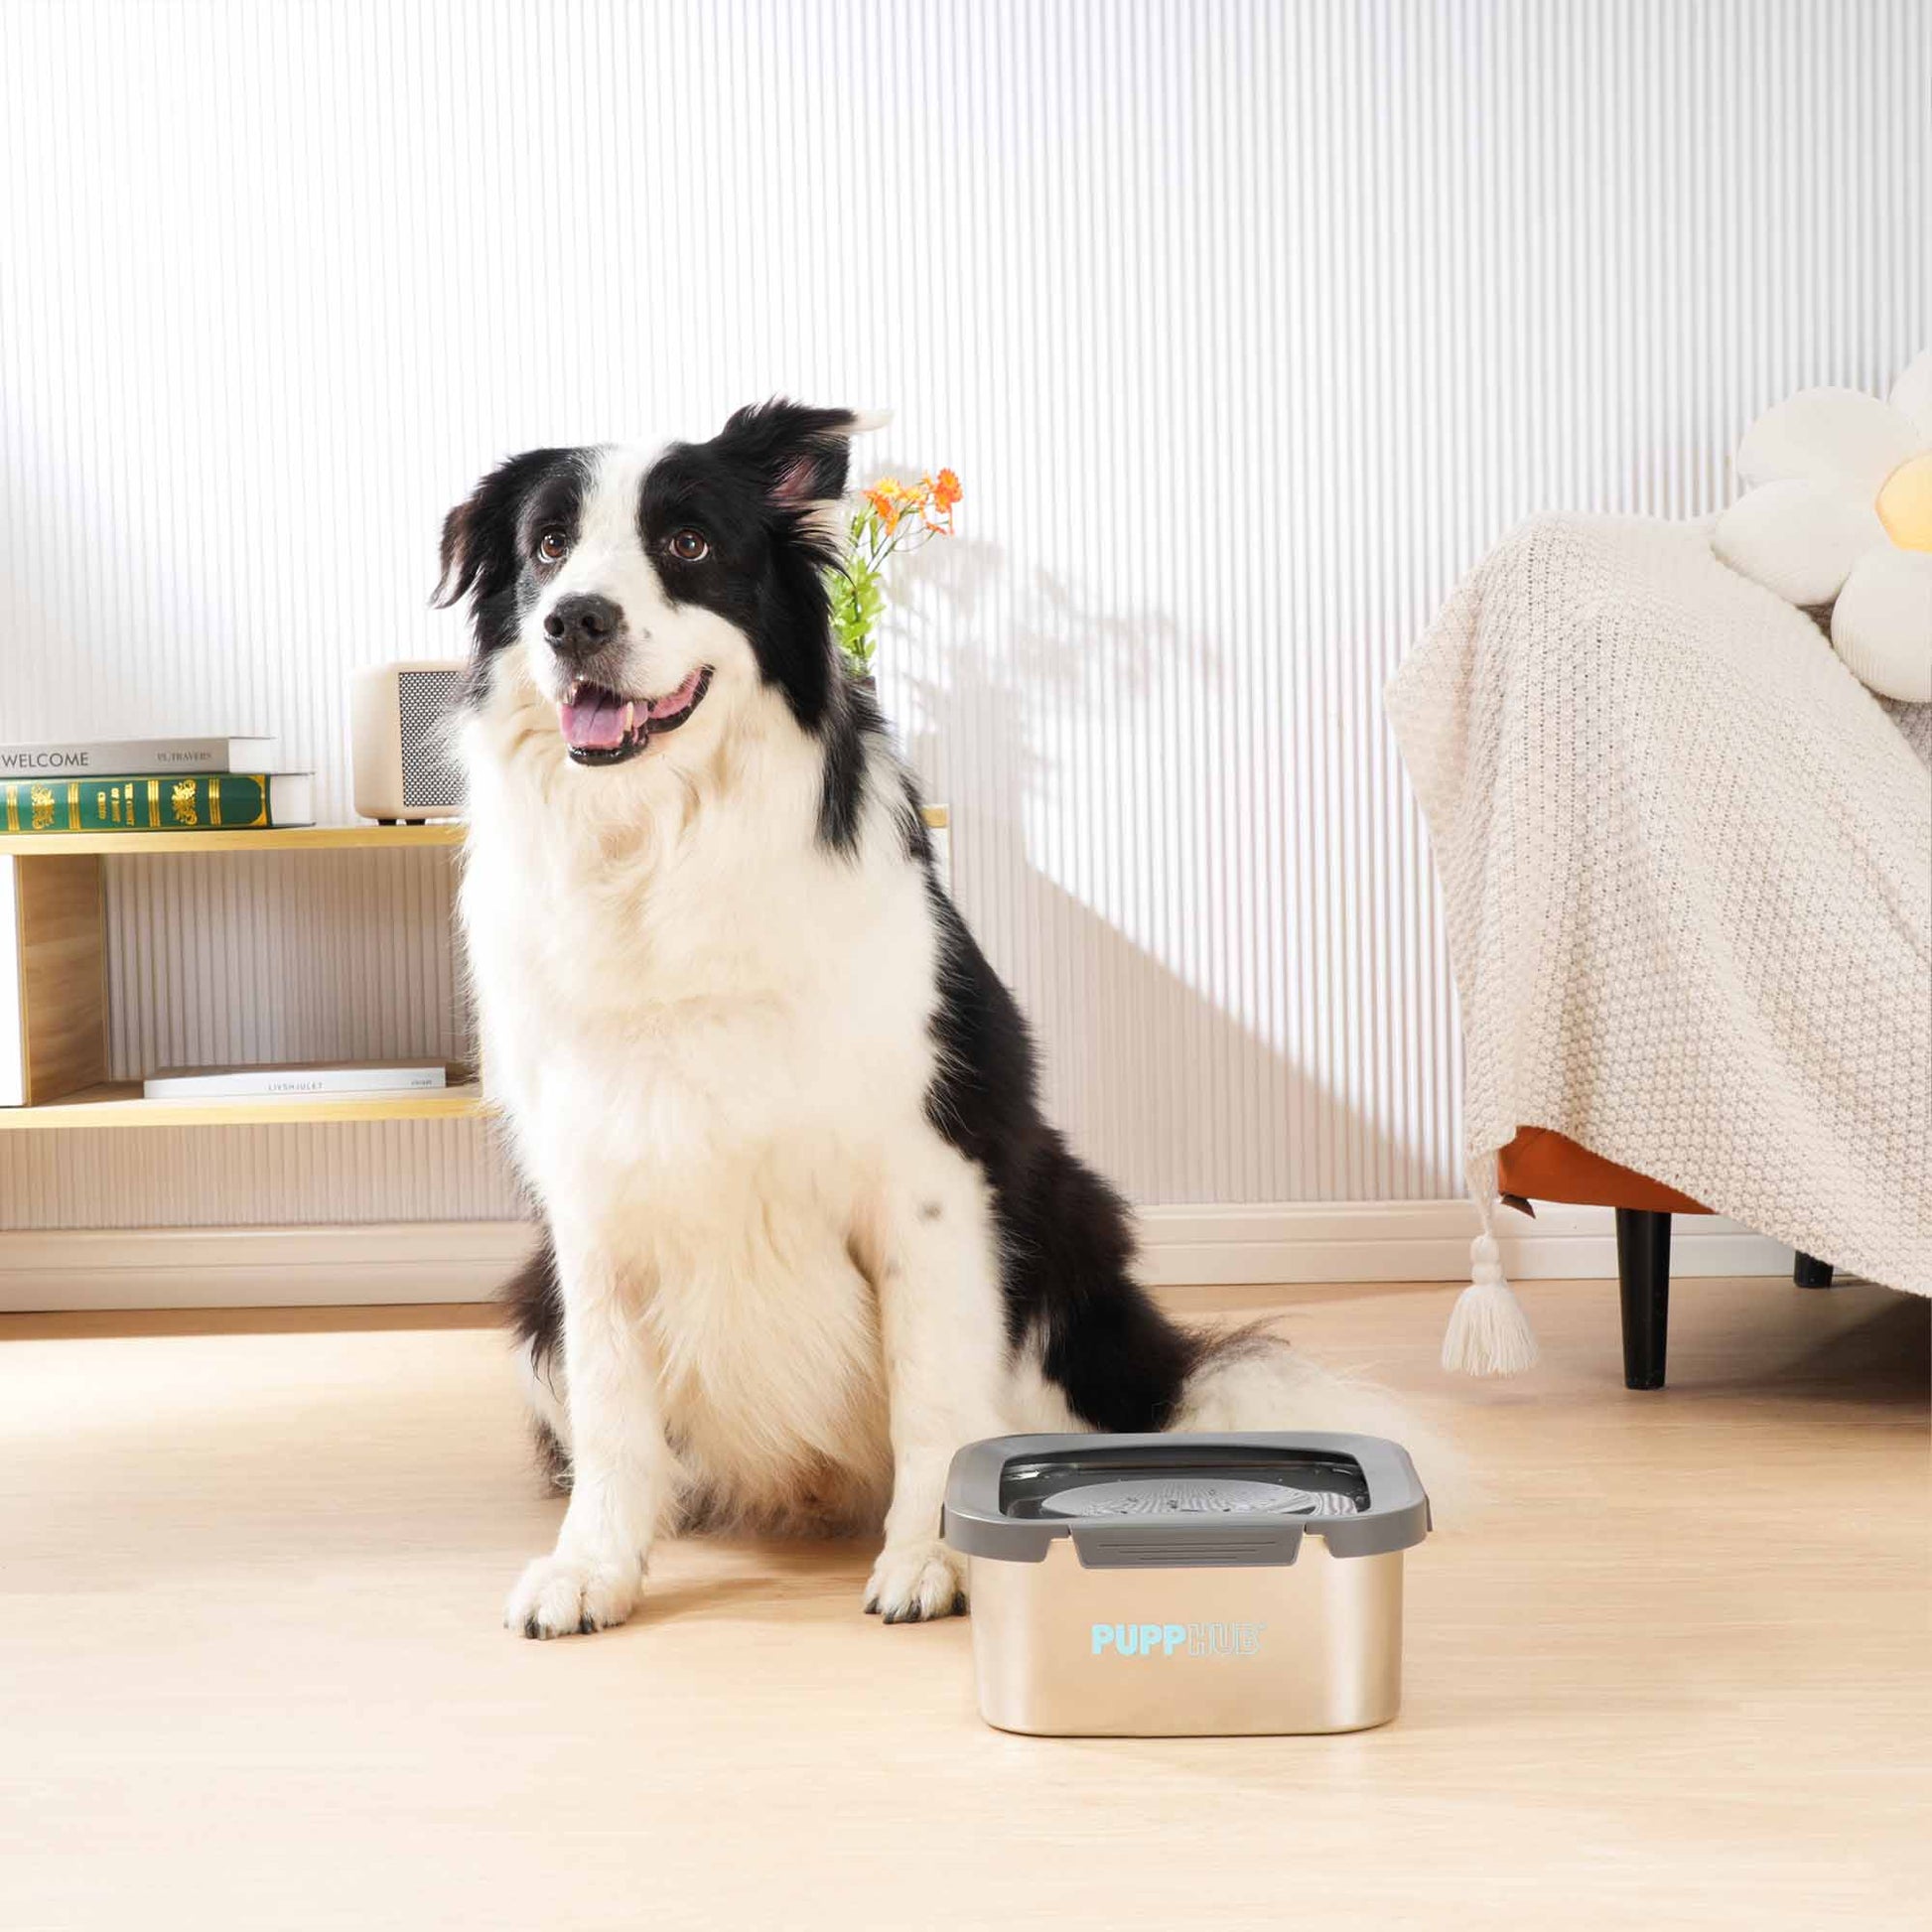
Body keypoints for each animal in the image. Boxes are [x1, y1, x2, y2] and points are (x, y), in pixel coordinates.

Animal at [442, 399, 1359, 1638]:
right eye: (546, 545)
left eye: (686, 542)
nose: (573, 618)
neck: (660, 846)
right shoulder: (592, 1187)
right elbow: (612, 1402)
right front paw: (592, 1566)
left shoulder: (930, 1173)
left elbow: (934, 1392)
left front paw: (931, 1554)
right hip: (532, 1300)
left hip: (1063, 1215)